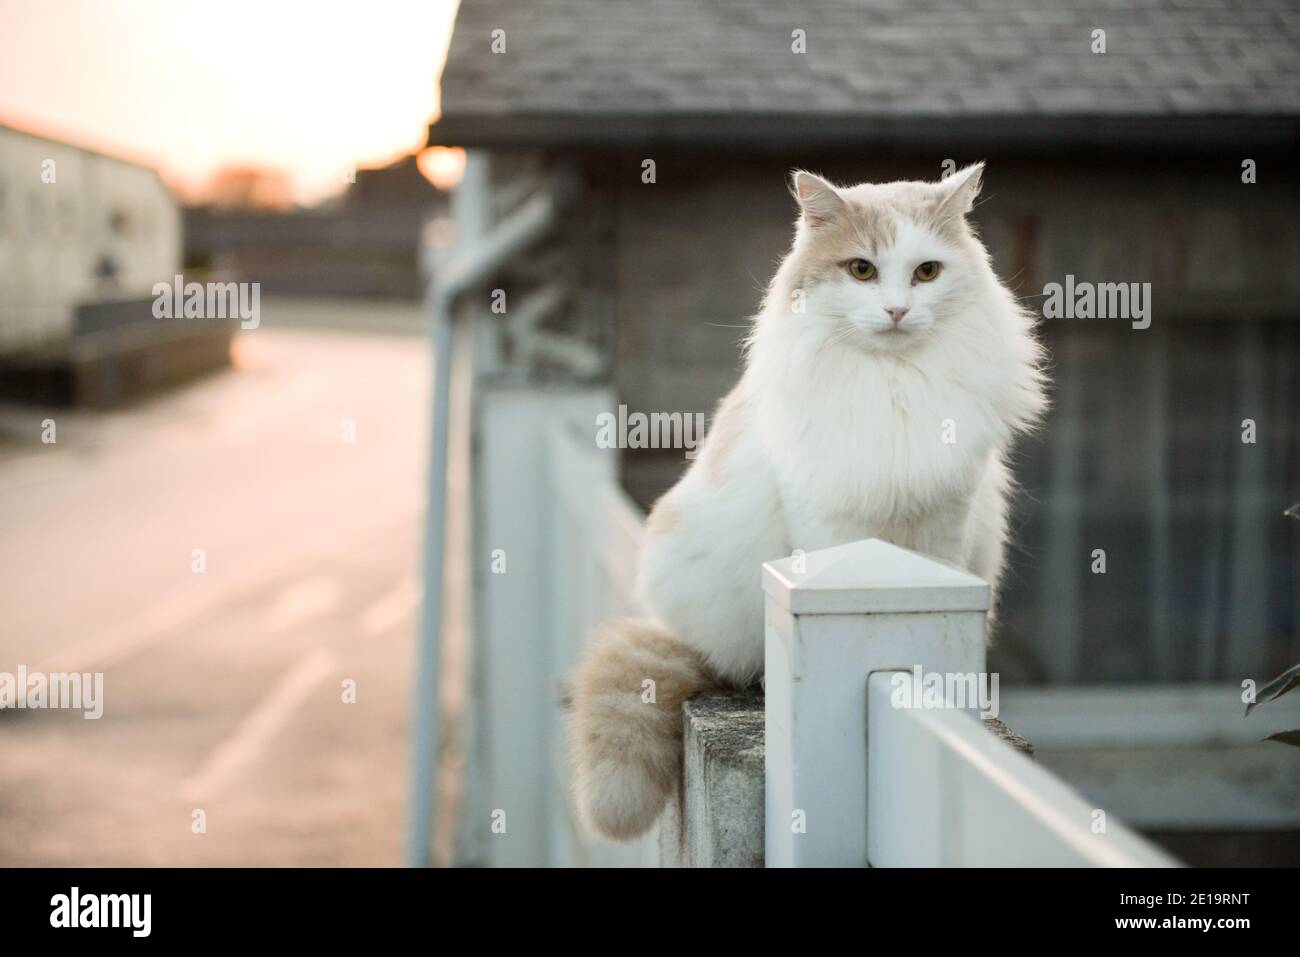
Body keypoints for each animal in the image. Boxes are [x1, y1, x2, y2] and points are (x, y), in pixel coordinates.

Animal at [566, 167, 1045, 842]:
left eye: (926, 272)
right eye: (862, 270)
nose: (896, 310)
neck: (893, 383)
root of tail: (672, 626)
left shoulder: (947, 519)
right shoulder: (823, 516)